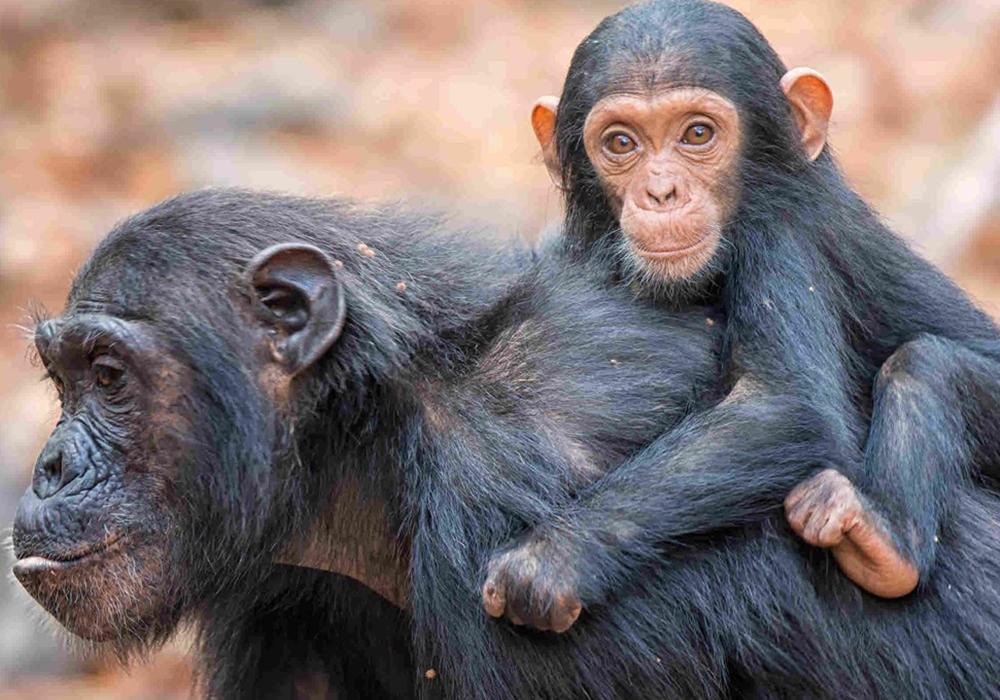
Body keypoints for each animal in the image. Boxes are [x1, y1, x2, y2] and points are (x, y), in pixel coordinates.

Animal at [9, 187, 1000, 700]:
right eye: (62, 380)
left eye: (109, 375)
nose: (51, 467)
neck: (363, 446)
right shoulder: (282, 593)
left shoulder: (502, 530)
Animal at [484, 0, 1000, 628]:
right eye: (621, 142)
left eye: (698, 133)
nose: (661, 192)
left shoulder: (780, 234)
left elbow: (781, 402)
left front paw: (551, 559)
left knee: (924, 366)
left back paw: (886, 545)